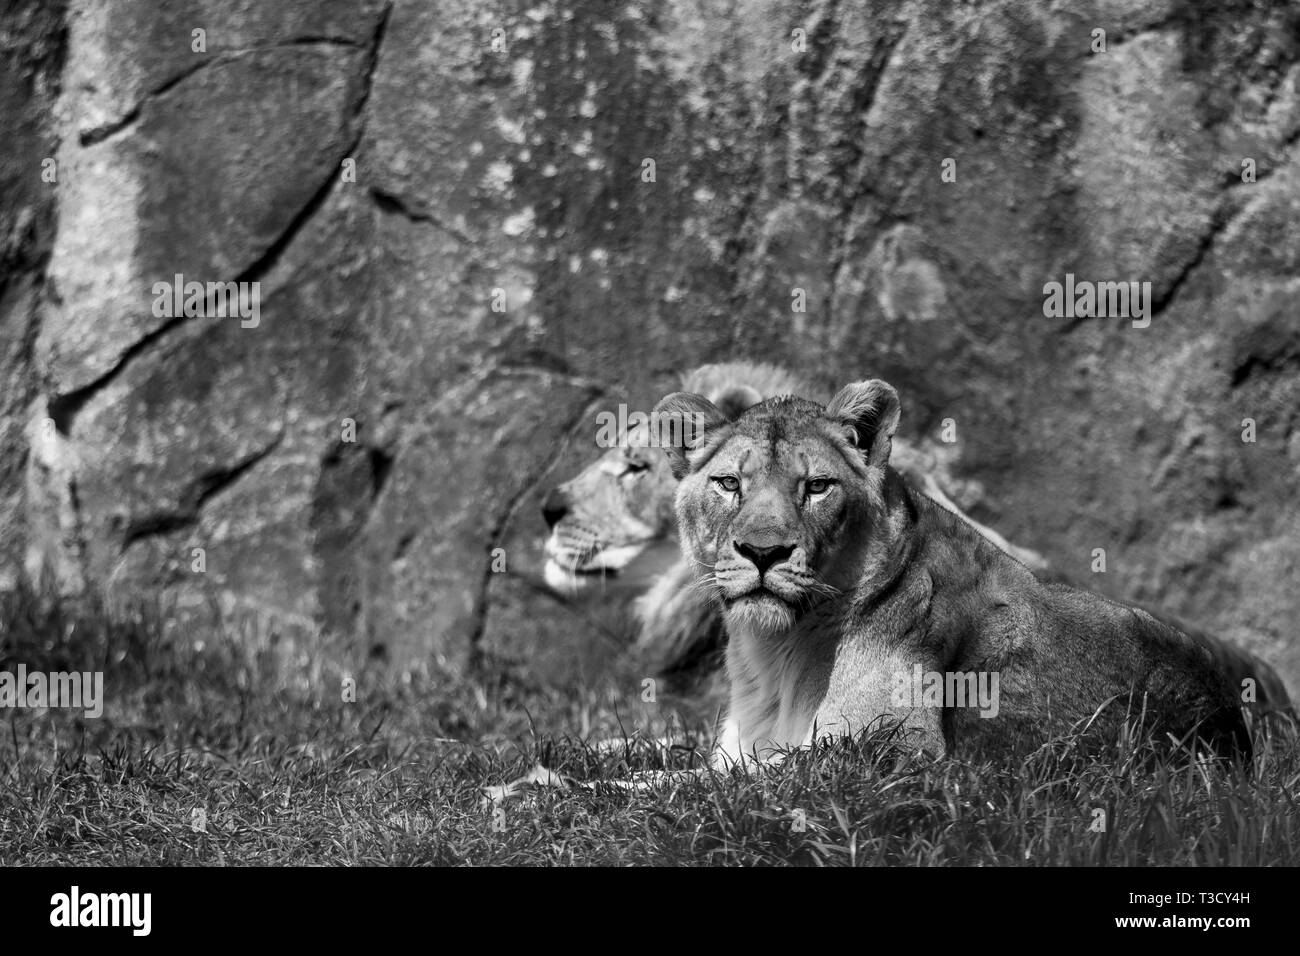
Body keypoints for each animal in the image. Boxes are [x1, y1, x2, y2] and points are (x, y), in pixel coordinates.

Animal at [653, 379, 1292, 763]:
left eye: (816, 487)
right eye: (729, 484)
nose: (763, 553)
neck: (774, 651)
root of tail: (1234, 736)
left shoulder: (890, 759)